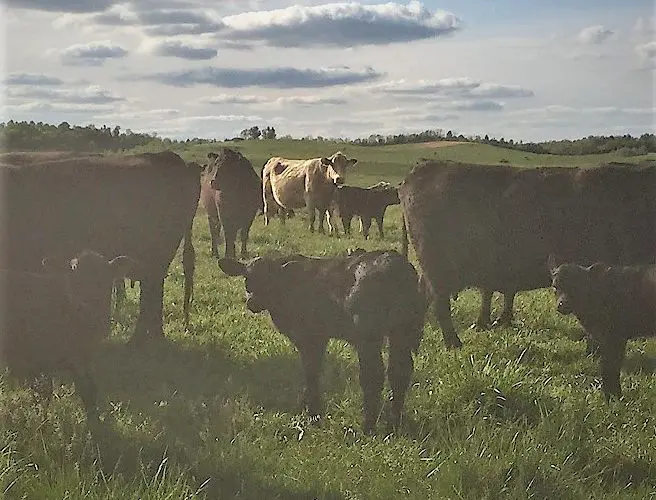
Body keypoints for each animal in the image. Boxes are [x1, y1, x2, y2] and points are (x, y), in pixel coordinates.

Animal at [0, 250, 135, 430]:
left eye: (102, 282)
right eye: (73, 281)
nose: (83, 306)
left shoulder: (85, 357)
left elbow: (90, 390)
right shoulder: (39, 356)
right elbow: (46, 392)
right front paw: (43, 424)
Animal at [218, 250, 428, 434]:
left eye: (270, 279)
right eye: (247, 278)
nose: (253, 302)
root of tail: (396, 263)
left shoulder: (308, 336)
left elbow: (311, 371)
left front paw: (313, 415)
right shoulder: (320, 337)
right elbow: (316, 370)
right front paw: (307, 407)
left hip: (368, 335)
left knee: (373, 375)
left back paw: (367, 427)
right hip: (401, 331)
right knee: (399, 372)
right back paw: (394, 424)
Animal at [548, 256, 656, 400]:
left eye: (578, 287)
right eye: (555, 286)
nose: (562, 304)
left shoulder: (615, 337)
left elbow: (610, 366)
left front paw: (613, 396)